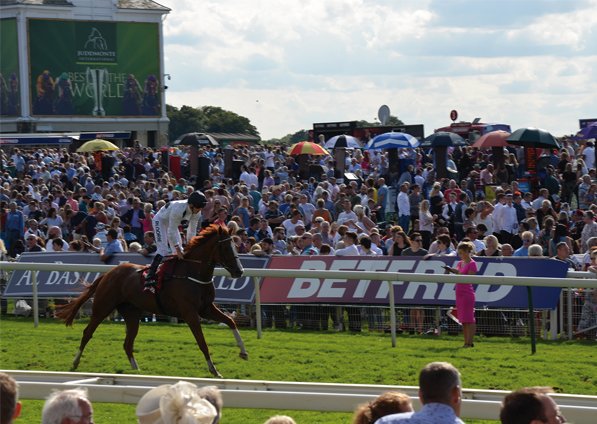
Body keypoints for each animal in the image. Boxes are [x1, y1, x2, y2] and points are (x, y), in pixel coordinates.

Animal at [56, 225, 247, 378]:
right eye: (226, 248)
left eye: (235, 245)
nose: (239, 271)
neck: (192, 272)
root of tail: (108, 274)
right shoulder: (189, 312)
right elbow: (202, 342)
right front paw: (214, 370)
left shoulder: (205, 308)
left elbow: (230, 322)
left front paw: (243, 351)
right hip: (102, 307)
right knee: (87, 333)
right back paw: (75, 362)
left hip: (132, 313)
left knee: (127, 344)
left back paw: (137, 371)